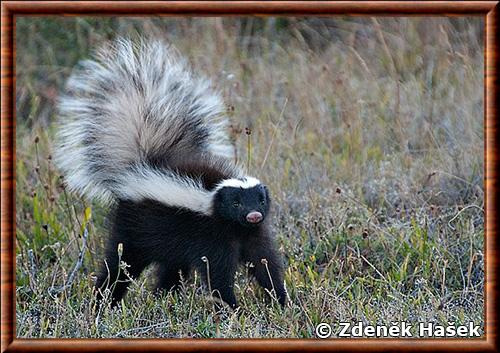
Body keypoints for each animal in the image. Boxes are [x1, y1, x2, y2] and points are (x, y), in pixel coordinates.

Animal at [54, 37, 286, 308]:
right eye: (236, 203)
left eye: (260, 200)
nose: (254, 215)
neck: (234, 227)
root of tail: (139, 166)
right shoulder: (213, 238)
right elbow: (217, 273)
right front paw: (231, 307)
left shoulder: (252, 235)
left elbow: (265, 264)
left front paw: (281, 300)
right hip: (134, 230)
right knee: (120, 265)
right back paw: (105, 300)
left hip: (170, 241)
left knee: (170, 269)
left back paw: (164, 298)